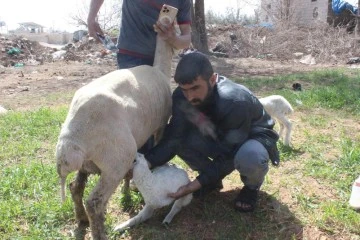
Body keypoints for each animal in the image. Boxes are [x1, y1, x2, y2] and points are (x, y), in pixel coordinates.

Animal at [55, 35, 174, 240]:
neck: (161, 69)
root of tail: (69, 142)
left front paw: (126, 189)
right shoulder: (161, 125)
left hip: (87, 164)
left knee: (75, 188)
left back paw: (82, 219)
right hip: (115, 163)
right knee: (94, 203)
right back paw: (99, 232)